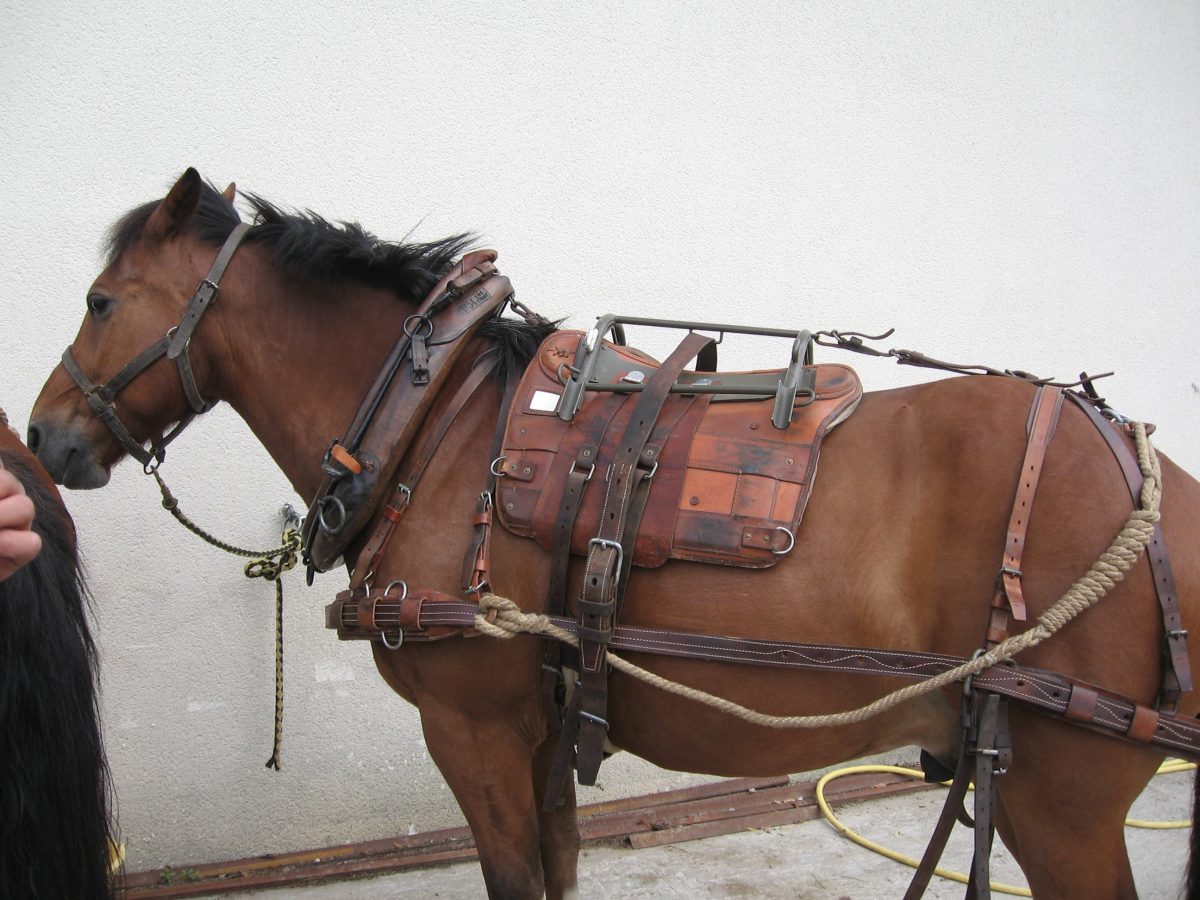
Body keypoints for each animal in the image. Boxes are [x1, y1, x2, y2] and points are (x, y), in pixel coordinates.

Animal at [25, 168, 1200, 899]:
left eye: (100, 300)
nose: (42, 435)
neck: (438, 422)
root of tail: (1137, 460)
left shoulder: (473, 730)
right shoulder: (544, 732)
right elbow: (556, 871)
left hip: (1059, 805)